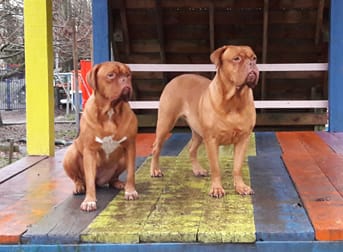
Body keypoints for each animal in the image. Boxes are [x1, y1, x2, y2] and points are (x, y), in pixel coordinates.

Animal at [63, 61, 139, 211]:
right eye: (111, 75)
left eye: (128, 75)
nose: (125, 80)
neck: (110, 111)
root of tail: (101, 181)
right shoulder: (90, 150)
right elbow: (89, 180)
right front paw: (89, 201)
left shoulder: (130, 147)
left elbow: (131, 173)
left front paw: (130, 191)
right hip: (70, 155)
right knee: (80, 179)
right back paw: (79, 186)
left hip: (122, 158)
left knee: (113, 178)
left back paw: (118, 183)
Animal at [152, 46, 260, 198]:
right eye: (236, 58)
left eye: (254, 58)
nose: (252, 64)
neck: (234, 100)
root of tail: (176, 79)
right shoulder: (212, 140)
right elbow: (215, 167)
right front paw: (216, 189)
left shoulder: (242, 140)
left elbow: (237, 167)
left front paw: (241, 187)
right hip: (165, 122)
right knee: (156, 147)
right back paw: (155, 170)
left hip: (198, 133)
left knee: (191, 149)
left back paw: (198, 169)